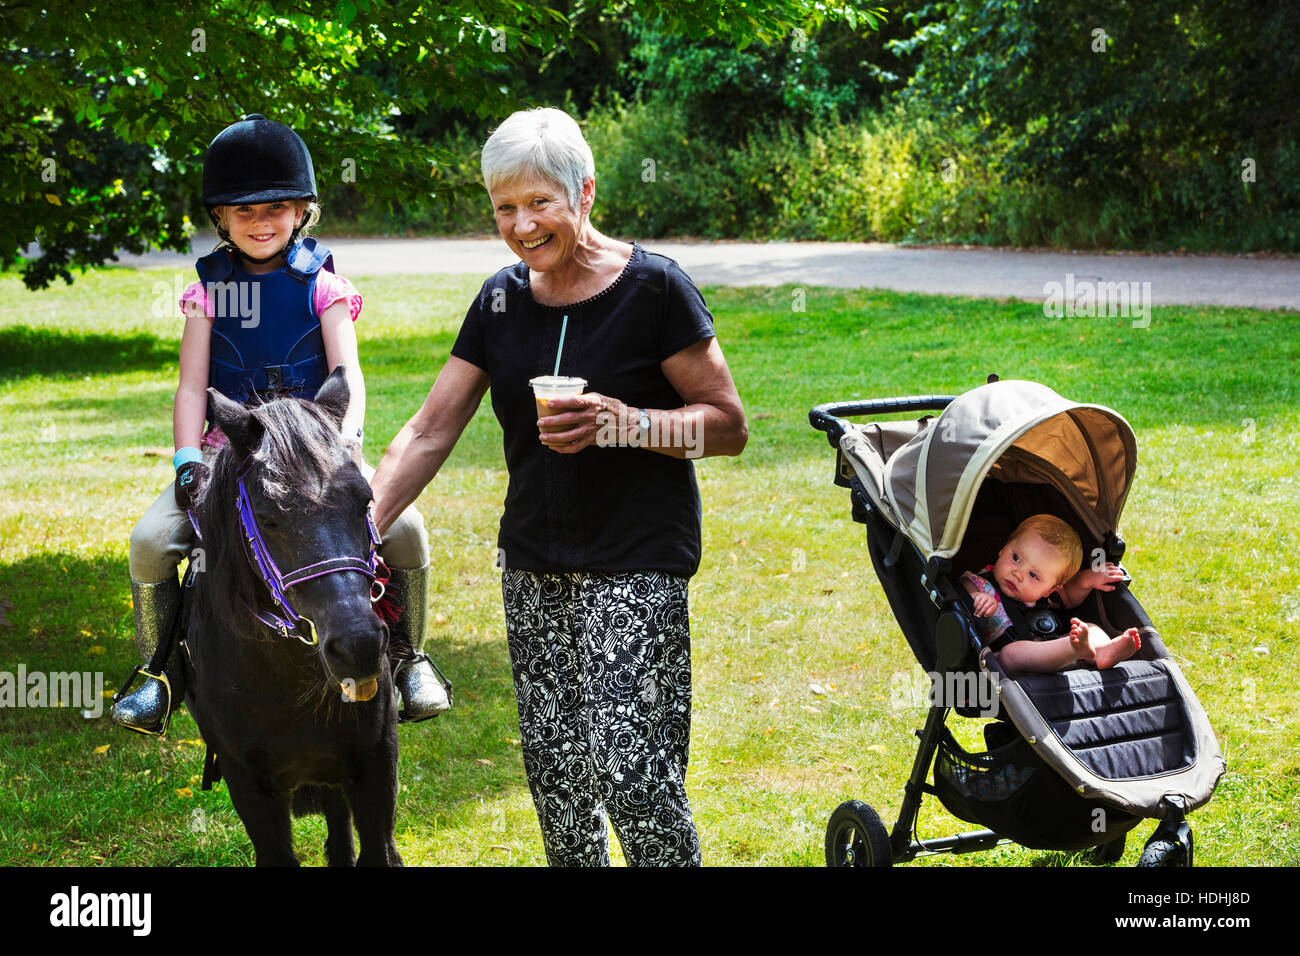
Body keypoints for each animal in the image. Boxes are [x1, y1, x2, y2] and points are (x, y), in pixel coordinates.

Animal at [184, 369, 400, 868]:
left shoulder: (375, 766)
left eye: (365, 501)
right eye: (269, 517)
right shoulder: (247, 783)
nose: (358, 645)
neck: (285, 682)